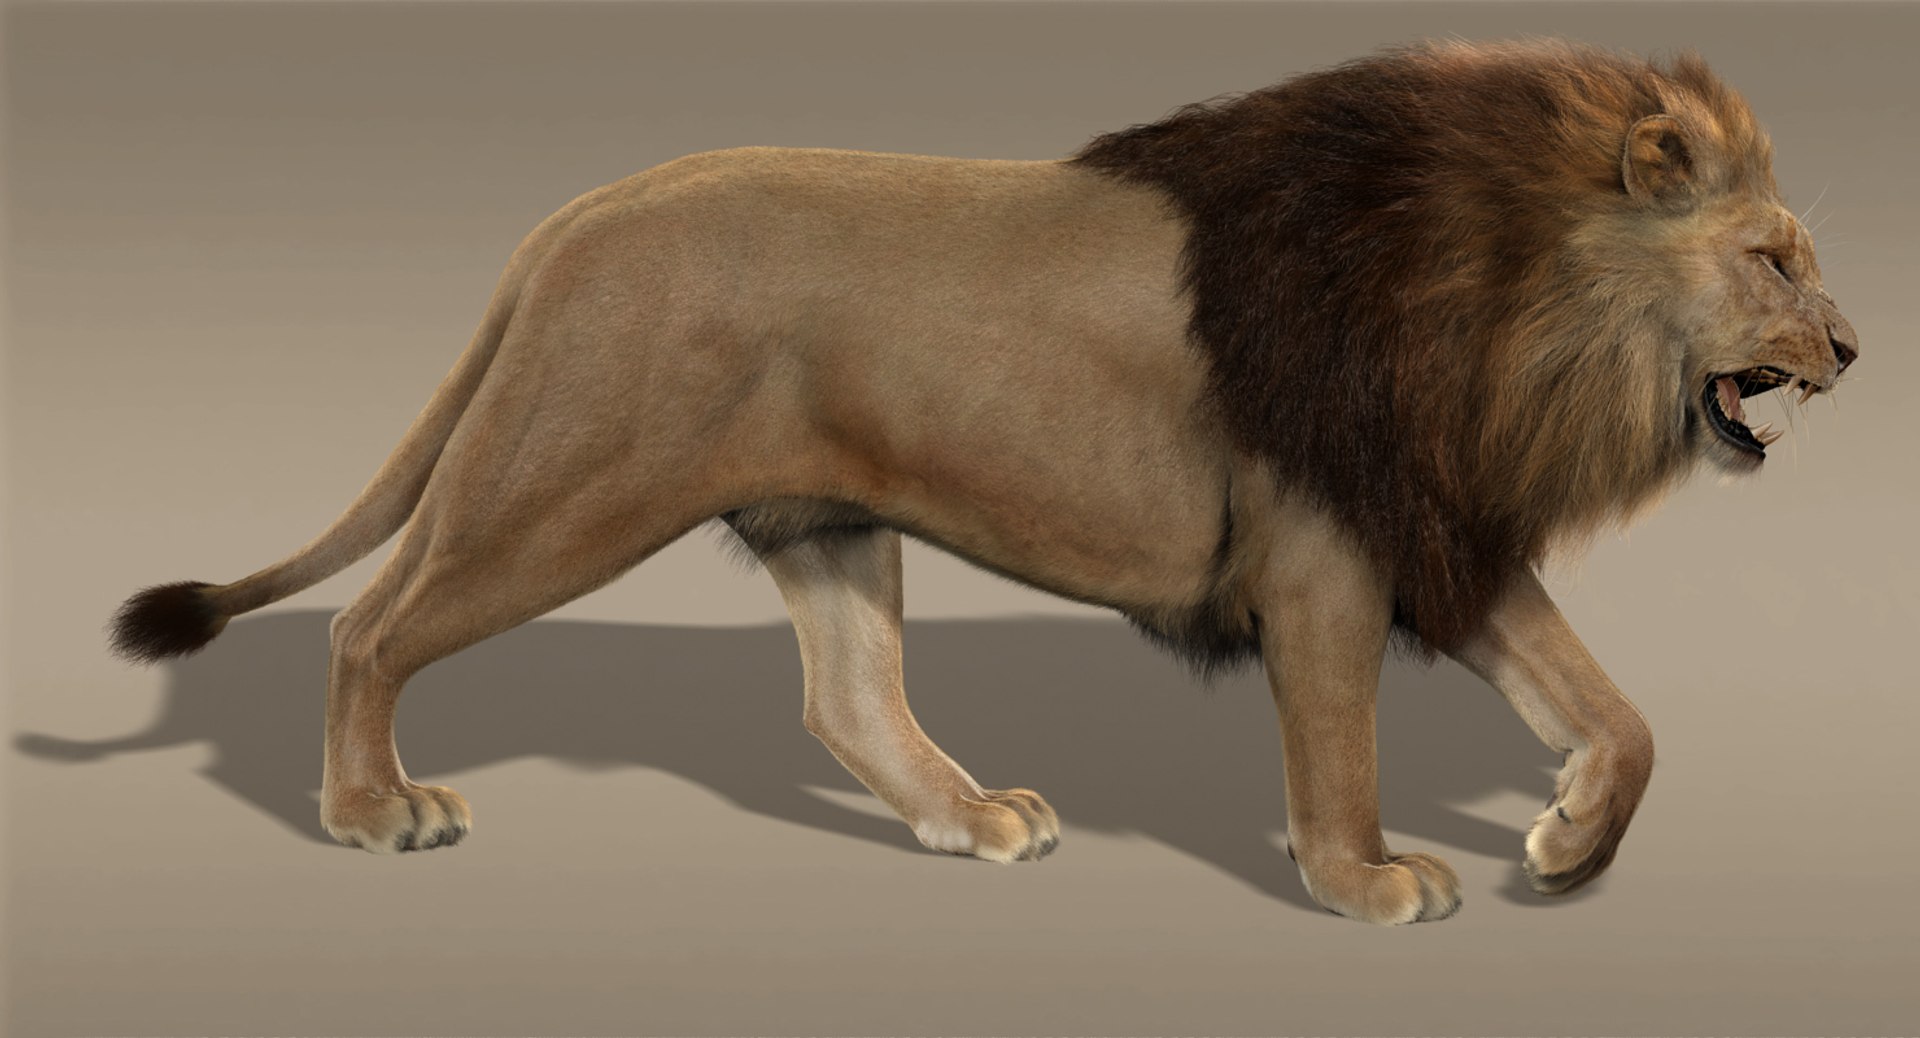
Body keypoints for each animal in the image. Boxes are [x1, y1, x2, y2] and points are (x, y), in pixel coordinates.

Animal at [109, 38, 1856, 924]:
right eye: (1774, 259)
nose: (1850, 345)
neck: (1525, 307)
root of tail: (570, 222)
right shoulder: (1327, 552)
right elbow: (1341, 747)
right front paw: (1368, 879)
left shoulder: (1439, 523)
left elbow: (1618, 713)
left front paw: (1566, 844)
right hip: (567, 483)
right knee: (372, 624)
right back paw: (372, 812)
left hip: (822, 519)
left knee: (845, 699)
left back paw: (974, 820)